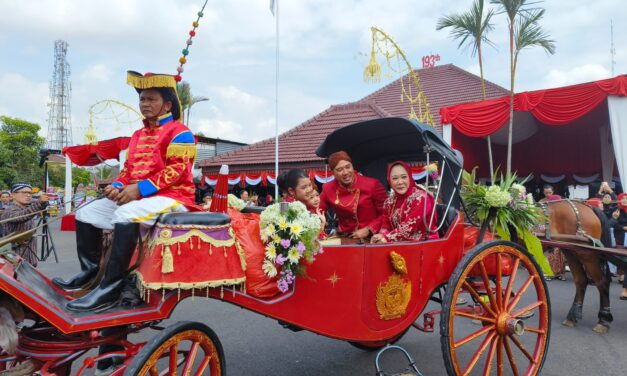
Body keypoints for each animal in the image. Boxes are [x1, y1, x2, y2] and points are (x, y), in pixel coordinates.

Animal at [540, 201, 612, 334]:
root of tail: (589, 207)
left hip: (587, 254)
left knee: (602, 281)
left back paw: (603, 320)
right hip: (571, 250)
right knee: (581, 280)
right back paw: (572, 317)